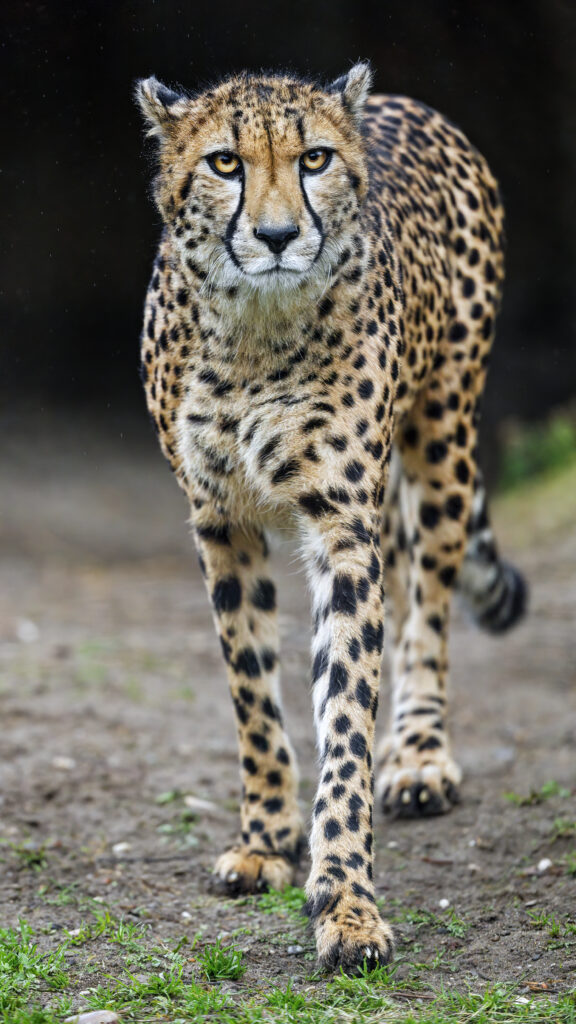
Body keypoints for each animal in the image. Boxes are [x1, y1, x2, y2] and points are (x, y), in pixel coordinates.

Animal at [135, 63, 526, 973]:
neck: (253, 333)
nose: (278, 236)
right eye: (225, 163)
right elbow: (251, 689)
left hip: (442, 434)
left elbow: (345, 713)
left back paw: (418, 757)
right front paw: (266, 840)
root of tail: (403, 103)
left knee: (429, 606)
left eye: (313, 158)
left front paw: (346, 901)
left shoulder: (344, 528)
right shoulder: (219, 520)